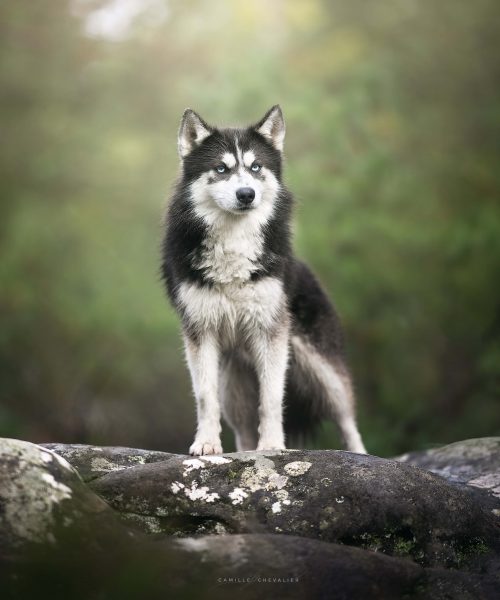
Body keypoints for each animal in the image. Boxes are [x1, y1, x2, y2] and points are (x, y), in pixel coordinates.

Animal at [162, 106, 366, 454]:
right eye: (221, 168)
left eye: (256, 167)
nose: (247, 194)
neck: (233, 243)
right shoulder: (201, 333)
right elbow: (205, 398)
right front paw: (206, 444)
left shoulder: (270, 334)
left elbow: (271, 399)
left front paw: (271, 446)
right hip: (235, 387)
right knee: (243, 430)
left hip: (324, 376)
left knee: (348, 420)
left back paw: (363, 456)